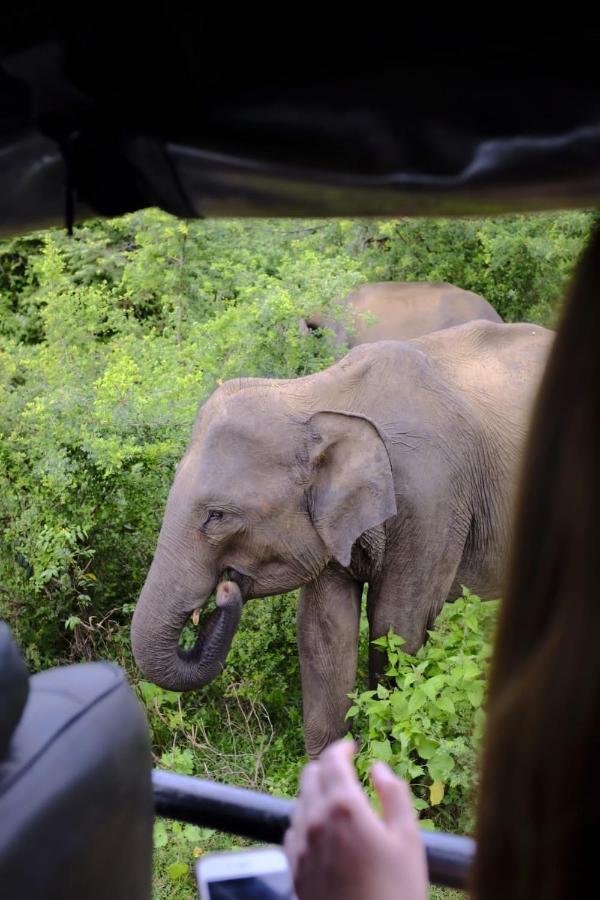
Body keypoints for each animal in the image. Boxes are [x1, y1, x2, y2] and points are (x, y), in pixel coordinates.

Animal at [132, 320, 552, 756]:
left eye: (216, 516)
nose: (225, 590)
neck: (316, 395)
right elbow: (322, 631)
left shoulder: (433, 500)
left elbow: (397, 625)